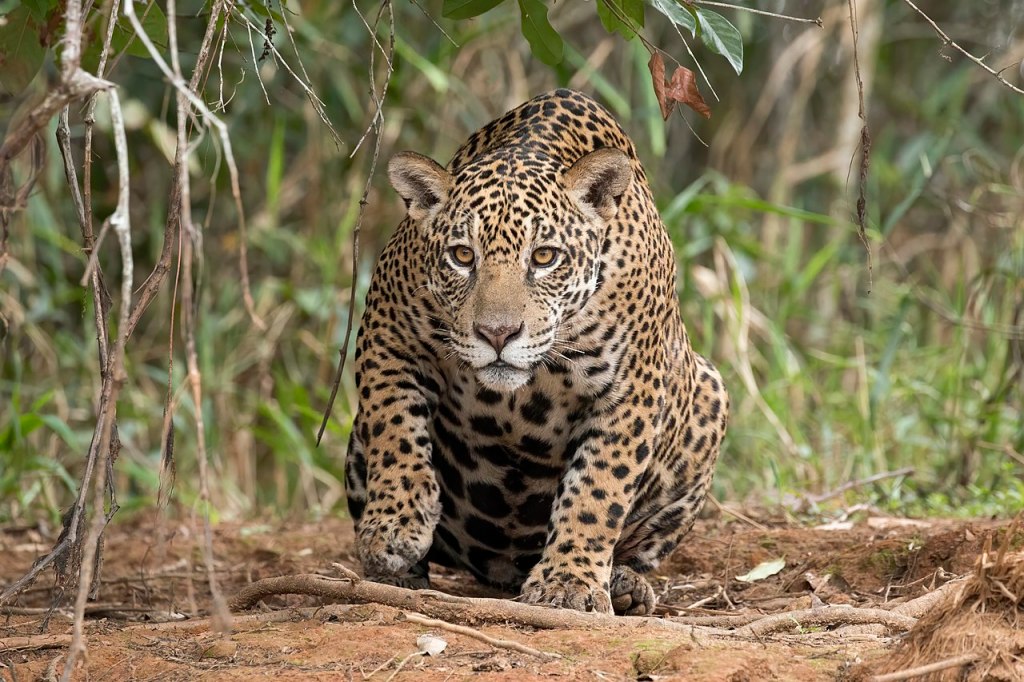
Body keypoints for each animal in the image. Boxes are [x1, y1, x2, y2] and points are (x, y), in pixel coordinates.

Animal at [344, 88, 728, 616]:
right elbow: (394, 426)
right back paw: (397, 575)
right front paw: (394, 526)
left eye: (545, 257)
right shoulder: (387, 330)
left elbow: (598, 488)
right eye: (462, 256)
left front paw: (568, 582)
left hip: (709, 395)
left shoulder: (631, 389)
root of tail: (502, 570)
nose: (497, 333)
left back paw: (625, 585)